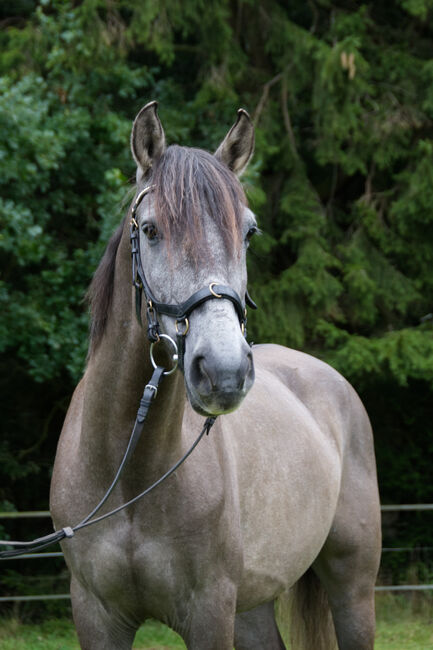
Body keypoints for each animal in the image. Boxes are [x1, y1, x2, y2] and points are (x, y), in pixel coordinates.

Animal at [50, 101, 380, 648]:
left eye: (247, 232)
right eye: (150, 230)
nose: (224, 372)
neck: (129, 473)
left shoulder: (208, 613)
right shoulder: (96, 615)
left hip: (352, 587)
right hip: (252, 605)